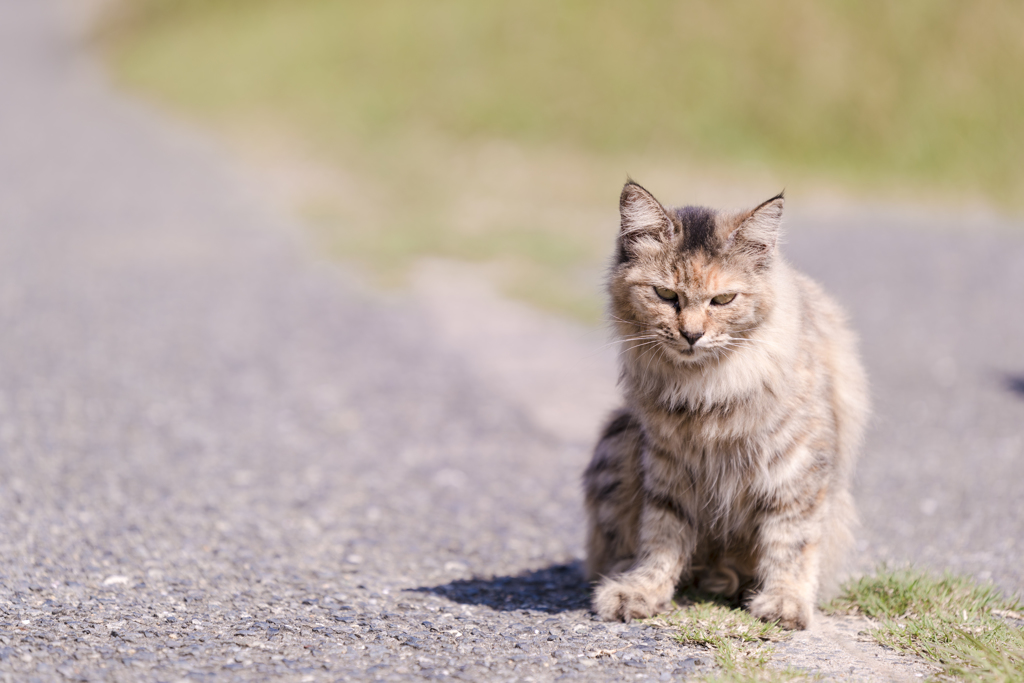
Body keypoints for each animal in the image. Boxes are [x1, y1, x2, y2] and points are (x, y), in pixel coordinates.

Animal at [585, 181, 864, 630]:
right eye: (665, 294)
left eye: (724, 299)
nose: (692, 335)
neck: (705, 388)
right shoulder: (667, 465)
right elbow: (662, 537)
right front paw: (643, 590)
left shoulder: (798, 465)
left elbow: (792, 541)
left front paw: (785, 602)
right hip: (618, 439)